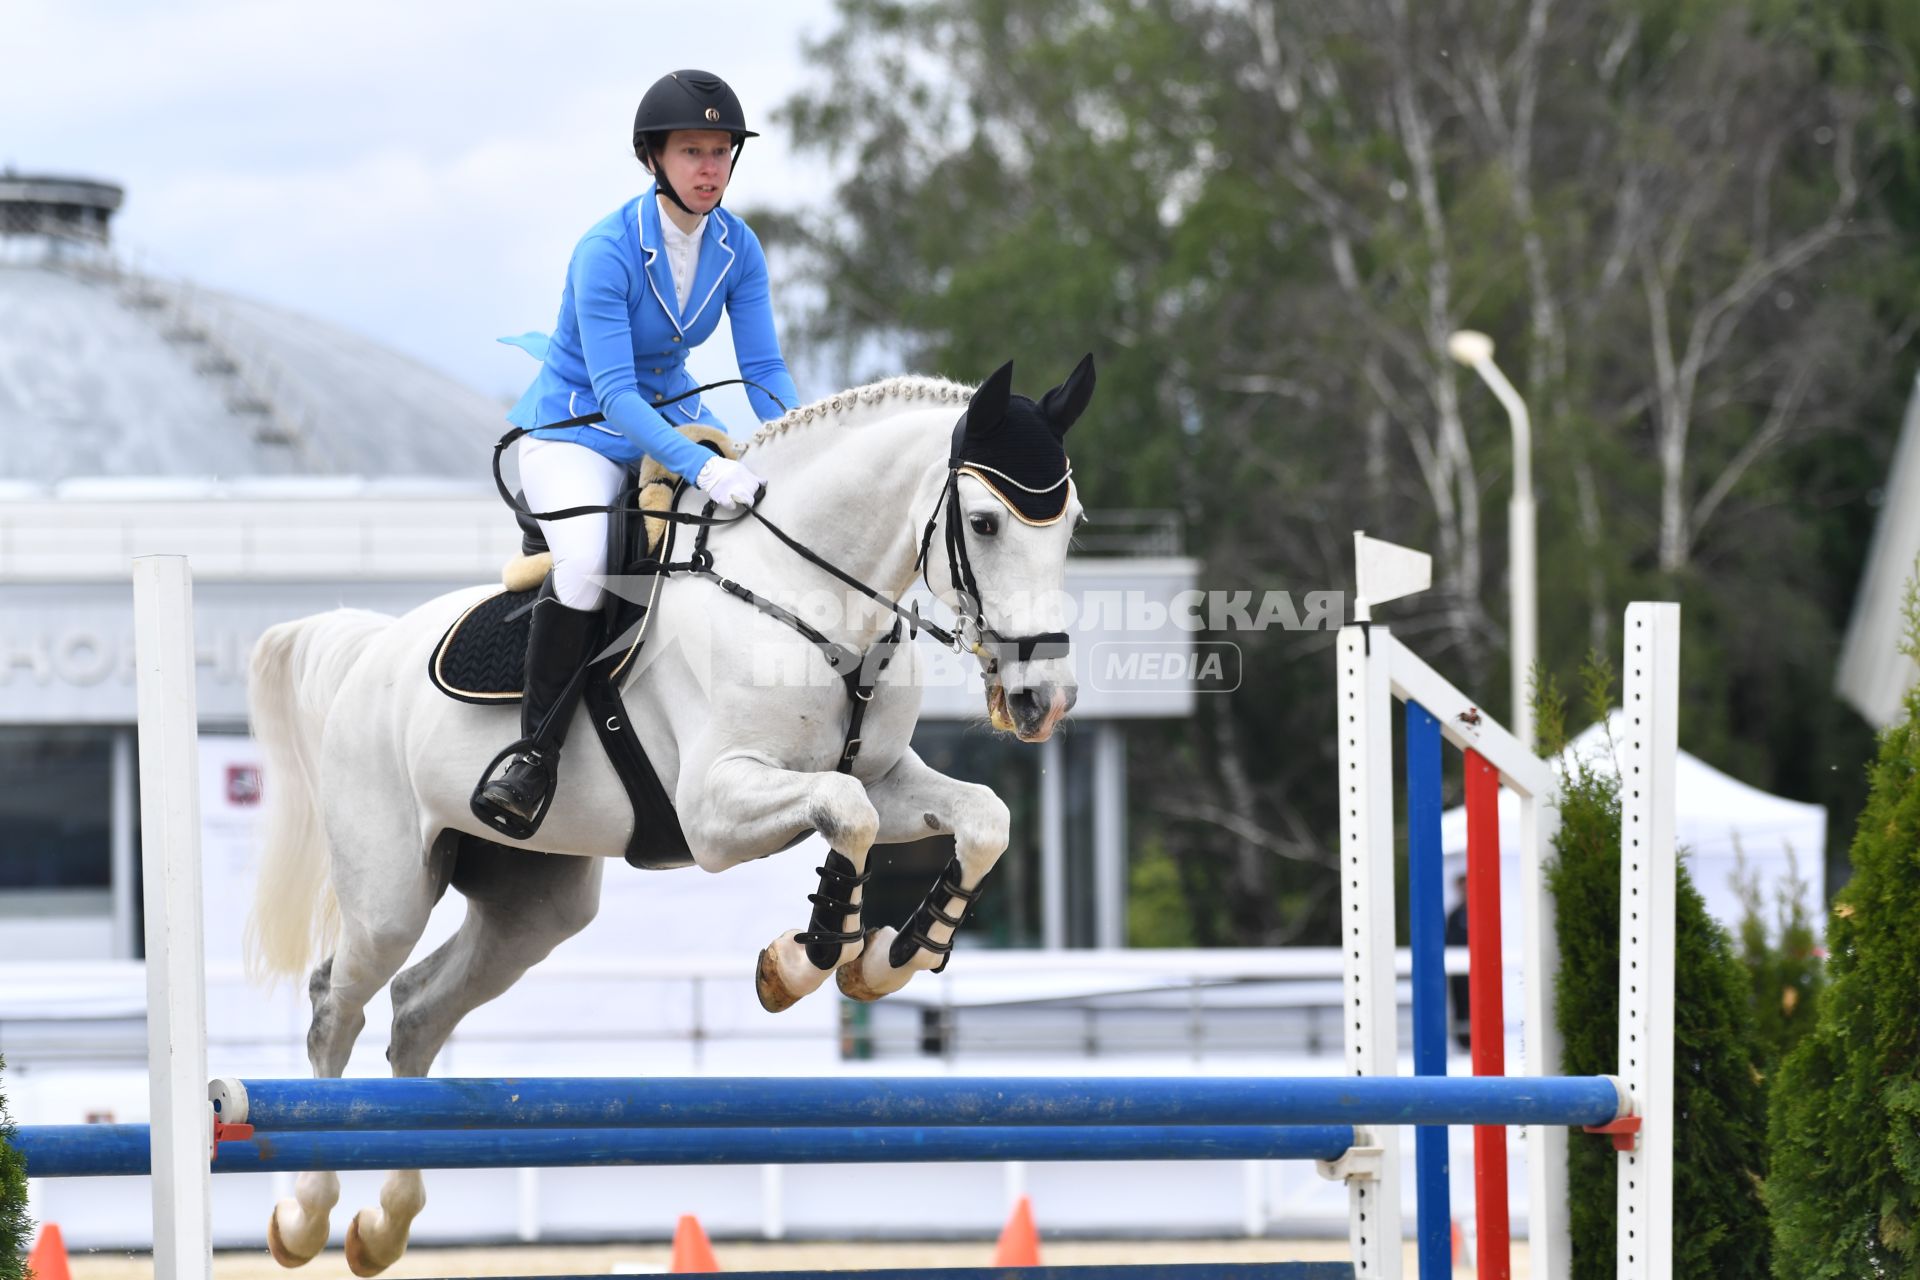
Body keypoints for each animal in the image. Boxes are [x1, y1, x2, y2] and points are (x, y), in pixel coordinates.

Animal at [240, 358, 1090, 1274]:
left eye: (1072, 523)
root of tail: (373, 648)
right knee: (336, 1010)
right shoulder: (714, 811)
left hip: (533, 907)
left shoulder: (891, 775)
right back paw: (307, 1217)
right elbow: (848, 814)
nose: (1044, 700)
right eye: (985, 523)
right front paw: (800, 962)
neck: (810, 599)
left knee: (417, 1011)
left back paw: (384, 1225)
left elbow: (981, 818)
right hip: (389, 891)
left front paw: (893, 957)